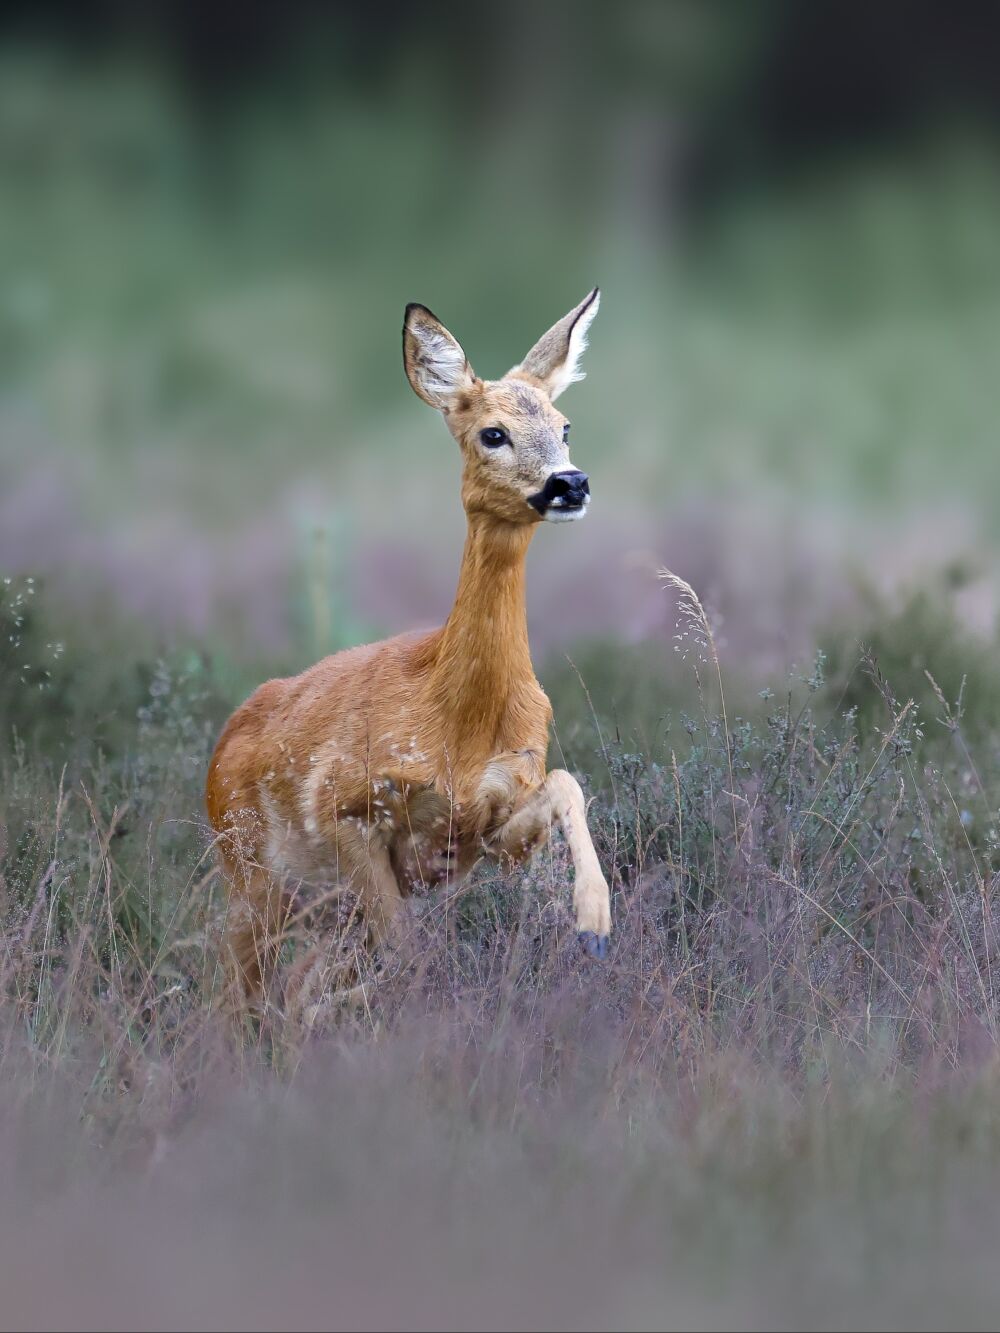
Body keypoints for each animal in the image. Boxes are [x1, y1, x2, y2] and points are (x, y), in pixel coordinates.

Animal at [208, 286, 616, 1002]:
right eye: (492, 432)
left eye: (565, 425)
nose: (570, 483)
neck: (457, 719)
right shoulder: (349, 808)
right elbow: (408, 957)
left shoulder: (486, 830)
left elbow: (566, 781)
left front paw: (594, 923)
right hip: (250, 875)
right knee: (240, 993)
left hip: (318, 910)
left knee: (295, 996)